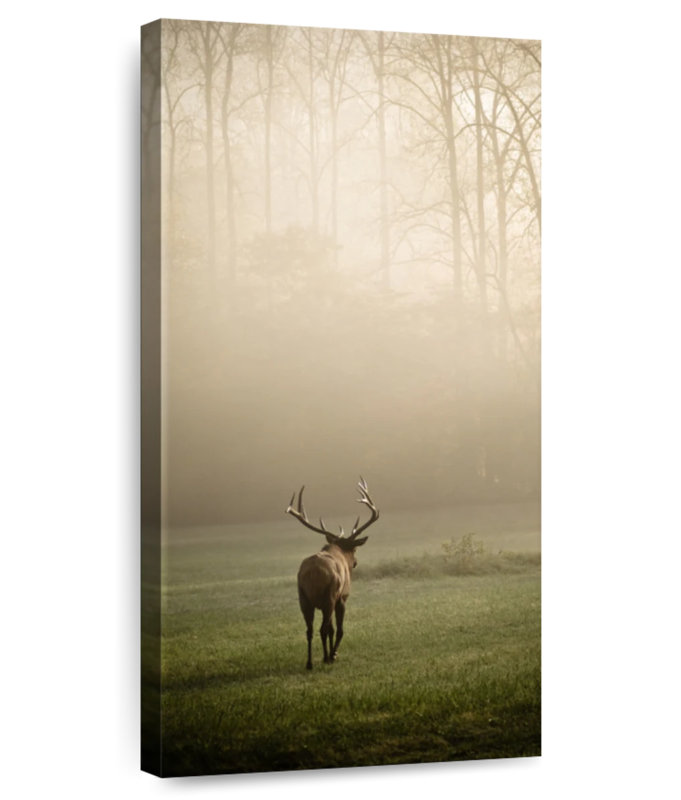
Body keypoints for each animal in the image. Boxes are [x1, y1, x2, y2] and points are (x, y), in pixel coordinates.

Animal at [286, 477, 379, 670]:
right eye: (354, 550)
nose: (355, 563)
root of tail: (313, 572)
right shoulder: (342, 597)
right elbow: (339, 629)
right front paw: (334, 654)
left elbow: (330, 629)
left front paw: (328, 654)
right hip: (329, 595)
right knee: (322, 628)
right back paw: (327, 658)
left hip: (303, 597)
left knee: (310, 630)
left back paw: (309, 662)